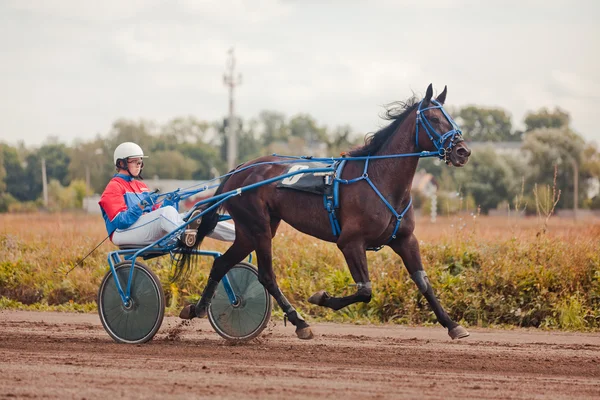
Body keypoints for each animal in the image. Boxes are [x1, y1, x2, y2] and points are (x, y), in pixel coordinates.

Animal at [178, 84, 474, 340]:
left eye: (451, 118)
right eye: (434, 118)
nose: (463, 151)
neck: (380, 179)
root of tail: (239, 170)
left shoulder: (405, 240)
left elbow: (423, 283)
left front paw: (452, 325)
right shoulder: (350, 242)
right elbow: (365, 291)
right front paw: (320, 297)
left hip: (251, 231)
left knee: (222, 264)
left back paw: (198, 308)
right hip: (258, 227)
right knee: (266, 276)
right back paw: (299, 322)